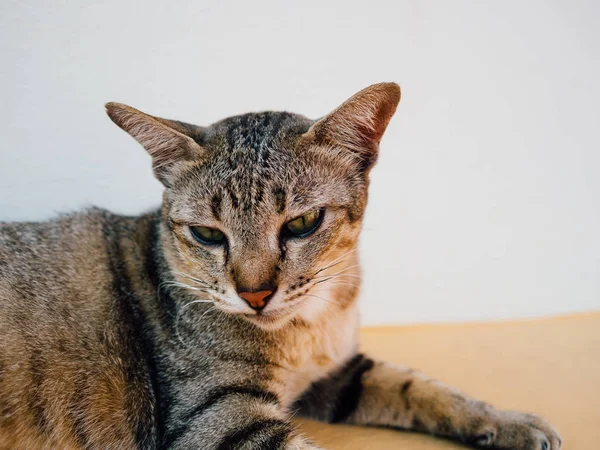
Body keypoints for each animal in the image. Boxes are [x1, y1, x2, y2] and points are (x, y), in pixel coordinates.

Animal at [1, 82, 564, 448]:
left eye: (303, 223)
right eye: (208, 234)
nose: (254, 293)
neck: (309, 330)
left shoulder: (337, 373)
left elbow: (420, 386)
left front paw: (507, 420)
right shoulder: (221, 416)